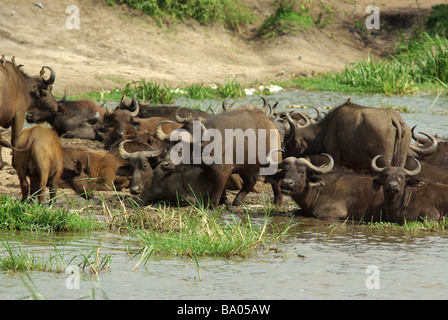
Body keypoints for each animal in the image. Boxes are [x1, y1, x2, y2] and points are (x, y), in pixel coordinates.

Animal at [284, 100, 412, 171]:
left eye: (288, 143)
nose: (284, 157)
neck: (325, 129)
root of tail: (392, 117)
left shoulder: (337, 162)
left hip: (382, 163)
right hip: (400, 161)